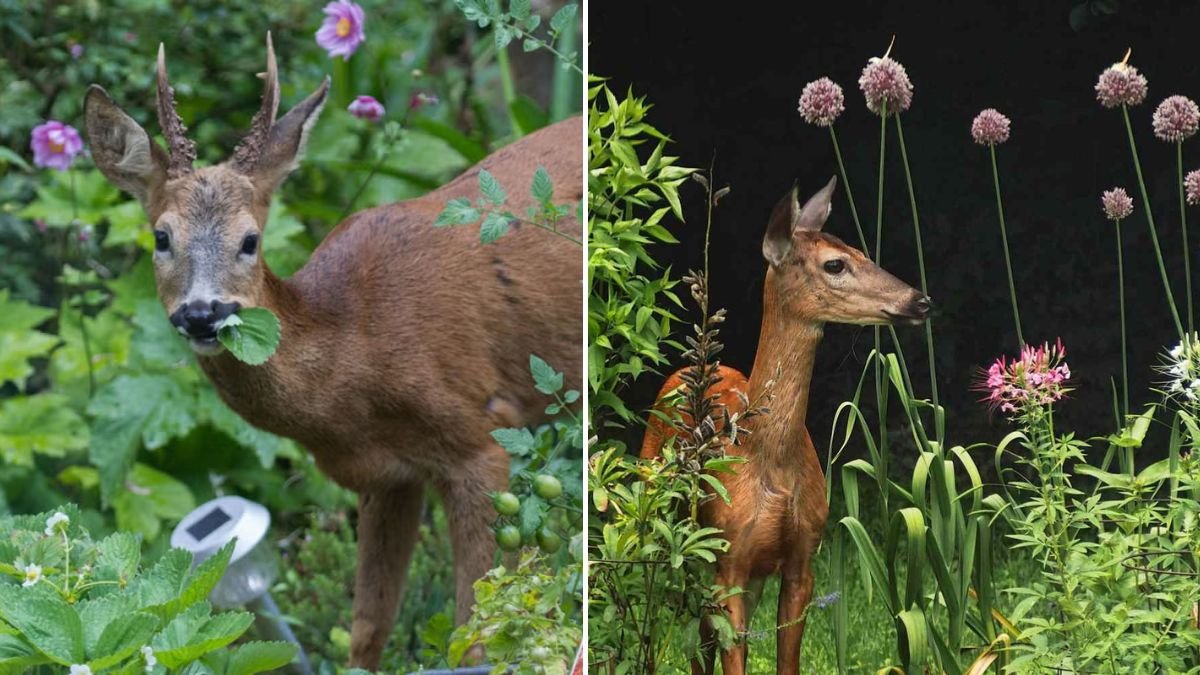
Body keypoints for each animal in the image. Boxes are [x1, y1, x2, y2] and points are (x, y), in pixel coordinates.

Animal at [84, 35, 581, 670]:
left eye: (250, 240)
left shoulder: (481, 438)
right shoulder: (386, 477)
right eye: (161, 237)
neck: (357, 354)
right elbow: (368, 625)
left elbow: (476, 636)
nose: (202, 313)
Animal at [639, 177, 931, 675]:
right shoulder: (730, 561)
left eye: (861, 250)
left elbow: (784, 660)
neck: (766, 456)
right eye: (834, 264)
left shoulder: (802, 559)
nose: (920, 299)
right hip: (660, 528)